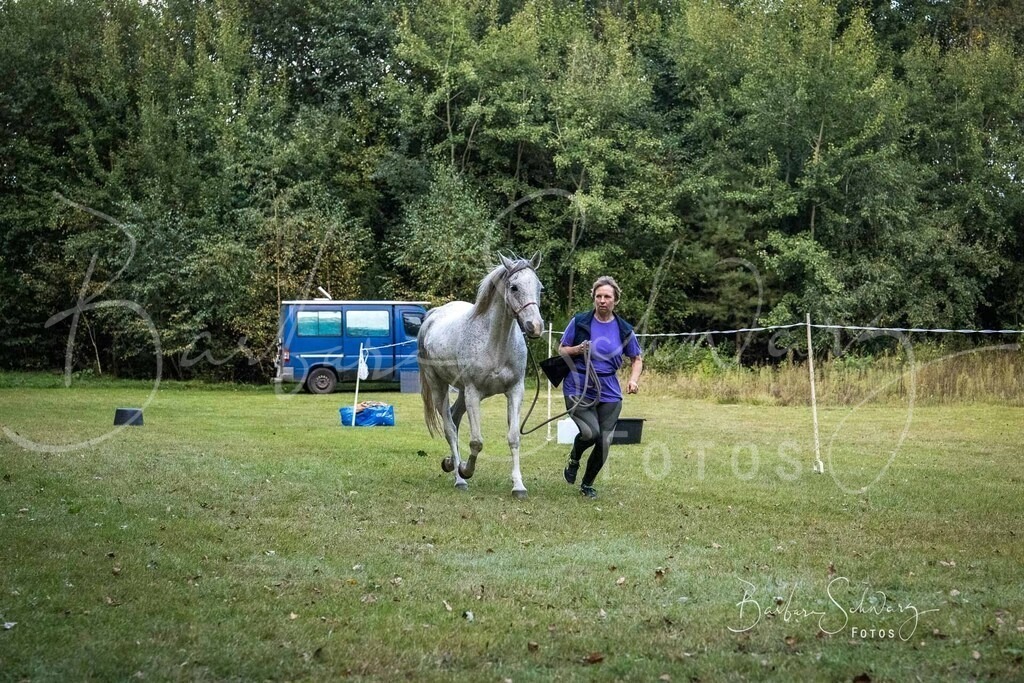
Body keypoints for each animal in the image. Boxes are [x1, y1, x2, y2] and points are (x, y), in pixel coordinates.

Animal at [417, 254, 544, 499]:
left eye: (539, 287)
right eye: (514, 287)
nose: (534, 326)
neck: (495, 343)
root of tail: (432, 316)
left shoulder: (515, 390)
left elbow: (514, 438)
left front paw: (518, 486)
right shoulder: (474, 393)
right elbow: (476, 442)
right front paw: (465, 470)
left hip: (462, 392)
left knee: (454, 418)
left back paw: (450, 463)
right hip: (440, 388)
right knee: (450, 429)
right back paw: (459, 478)